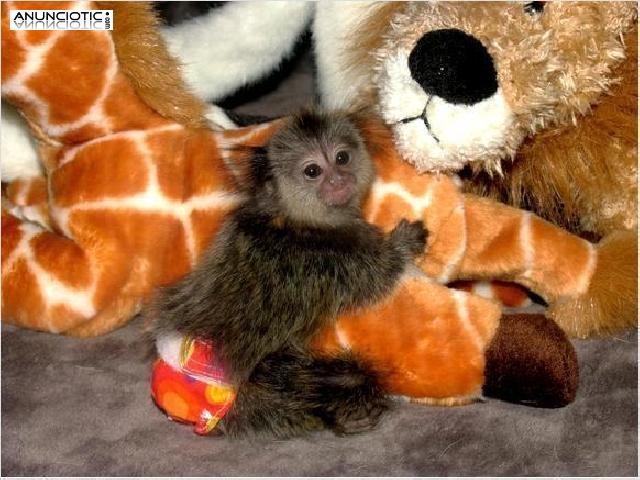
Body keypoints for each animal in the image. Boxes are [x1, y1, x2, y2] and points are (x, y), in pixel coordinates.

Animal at [151, 110, 427, 438]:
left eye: (342, 157)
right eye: (312, 171)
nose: (338, 179)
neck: (294, 218)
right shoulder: (326, 262)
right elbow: (381, 272)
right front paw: (405, 243)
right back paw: (341, 415)